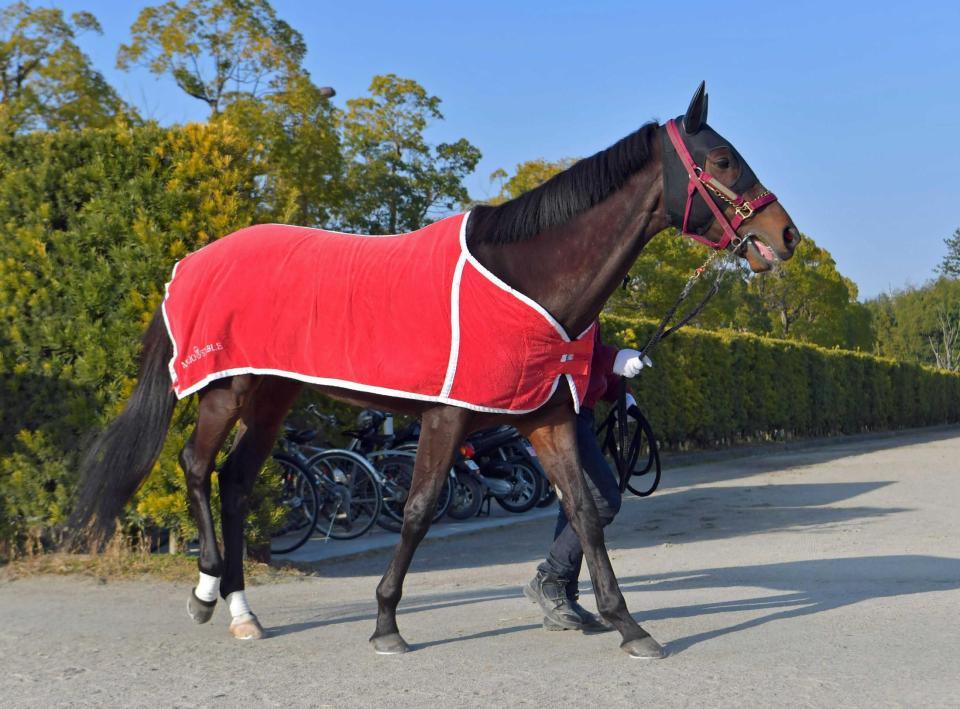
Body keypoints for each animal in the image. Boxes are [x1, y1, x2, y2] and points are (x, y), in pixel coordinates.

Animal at [66, 82, 799, 659]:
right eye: (722, 159)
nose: (785, 235)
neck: (523, 280)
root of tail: (191, 262)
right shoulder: (447, 418)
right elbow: (417, 510)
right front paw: (386, 621)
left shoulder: (548, 419)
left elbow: (586, 512)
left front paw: (628, 625)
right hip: (227, 389)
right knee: (196, 467)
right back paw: (205, 589)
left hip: (273, 396)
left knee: (238, 481)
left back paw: (245, 612)